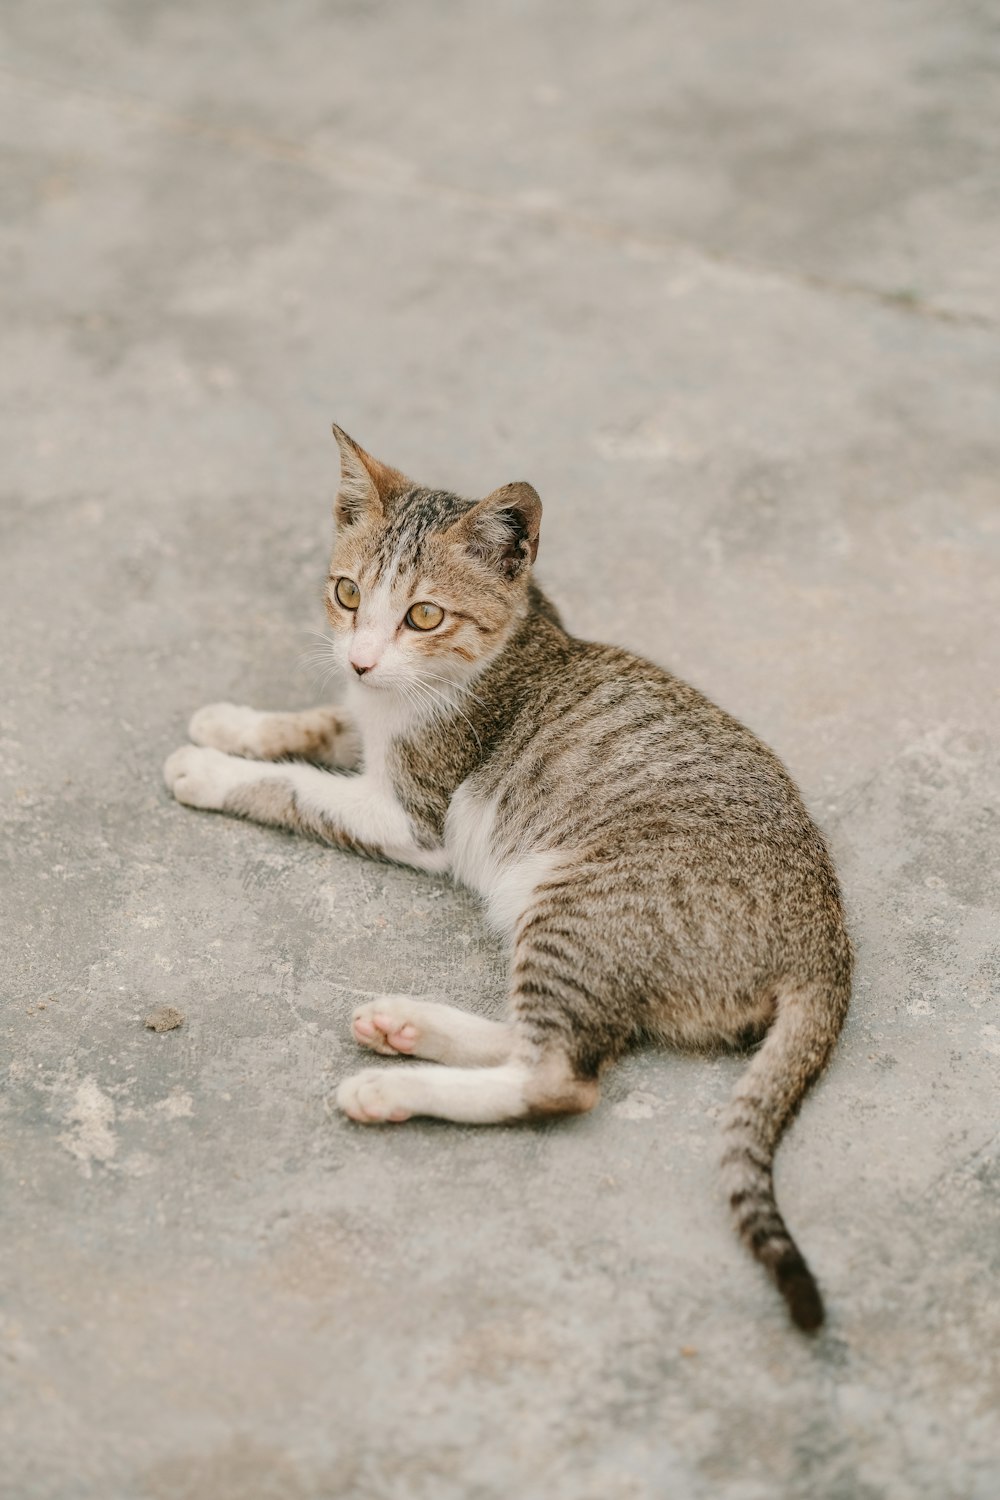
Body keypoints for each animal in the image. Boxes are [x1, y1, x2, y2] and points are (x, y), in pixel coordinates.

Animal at [164, 429, 851, 1332]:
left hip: (581, 903)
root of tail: (826, 946)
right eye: (347, 595)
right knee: (545, 1040)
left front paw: (211, 767)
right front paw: (240, 721)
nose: (362, 656)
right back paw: (405, 1027)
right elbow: (326, 721)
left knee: (559, 1078)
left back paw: (393, 1085)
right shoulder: (371, 720)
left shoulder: (412, 817)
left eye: (423, 615)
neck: (502, 648)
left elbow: (297, 790)